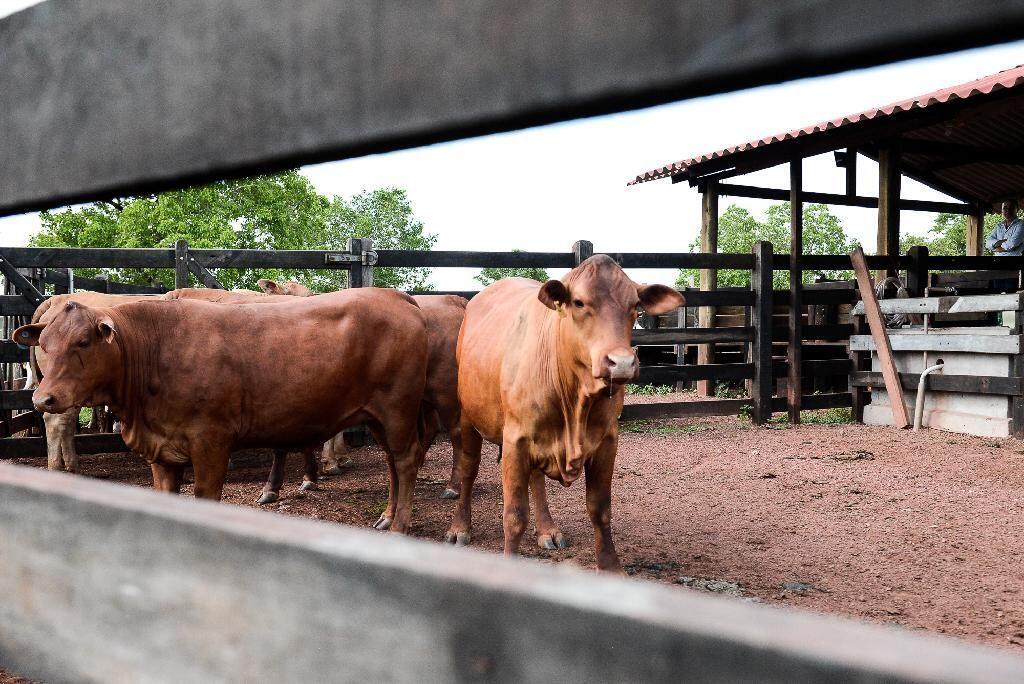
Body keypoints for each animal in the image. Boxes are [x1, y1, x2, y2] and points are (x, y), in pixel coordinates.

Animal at [17, 290, 432, 532]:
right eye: (45, 344)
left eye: (84, 341)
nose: (43, 399)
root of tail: (397, 297)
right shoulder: (161, 452)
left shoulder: (211, 443)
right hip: (378, 416)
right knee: (393, 462)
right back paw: (386, 516)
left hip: (396, 408)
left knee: (406, 460)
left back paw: (399, 525)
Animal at [444, 255, 684, 573]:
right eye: (579, 302)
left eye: (635, 305)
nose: (621, 362)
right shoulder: (515, 441)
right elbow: (514, 515)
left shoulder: (607, 441)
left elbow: (600, 509)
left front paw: (611, 568)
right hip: (468, 417)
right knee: (469, 470)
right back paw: (460, 527)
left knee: (536, 479)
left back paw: (546, 529)